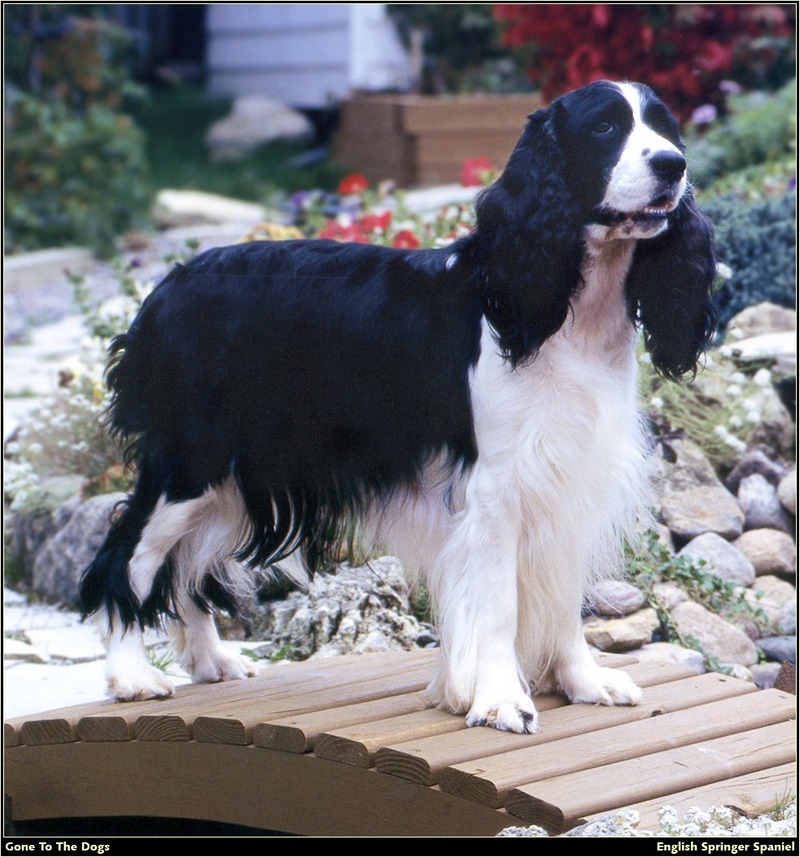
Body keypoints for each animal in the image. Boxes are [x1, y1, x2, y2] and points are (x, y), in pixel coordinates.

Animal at [81, 83, 716, 732]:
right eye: (604, 129)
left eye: (664, 127)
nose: (674, 165)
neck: (565, 312)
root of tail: (165, 290)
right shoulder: (498, 487)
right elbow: (498, 605)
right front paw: (499, 700)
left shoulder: (569, 474)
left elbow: (563, 596)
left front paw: (582, 681)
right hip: (192, 462)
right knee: (127, 555)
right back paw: (132, 675)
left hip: (230, 480)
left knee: (183, 565)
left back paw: (212, 660)